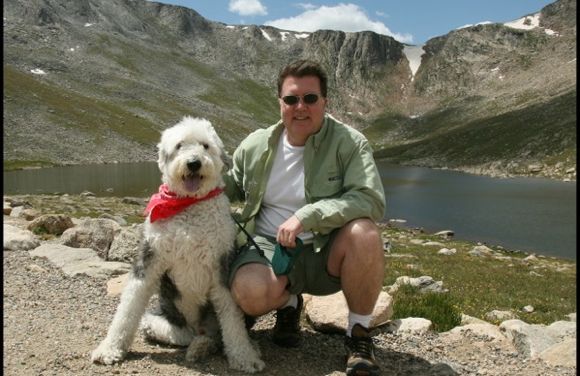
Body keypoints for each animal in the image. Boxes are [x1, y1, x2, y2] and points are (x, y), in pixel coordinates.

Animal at [90, 117, 266, 374]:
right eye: (179, 145)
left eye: (205, 146)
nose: (193, 163)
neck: (188, 206)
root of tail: (196, 327)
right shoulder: (149, 257)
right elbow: (128, 307)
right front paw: (109, 349)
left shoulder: (222, 264)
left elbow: (232, 321)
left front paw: (244, 357)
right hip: (157, 320)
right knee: (185, 337)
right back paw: (198, 347)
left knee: (220, 334)